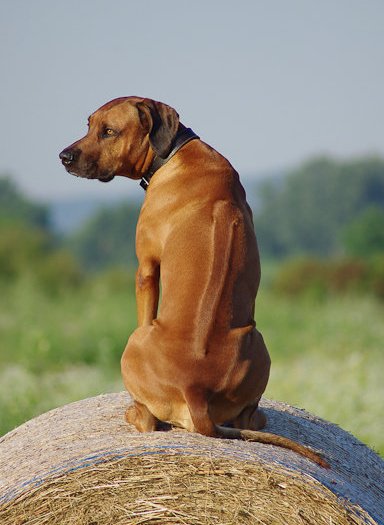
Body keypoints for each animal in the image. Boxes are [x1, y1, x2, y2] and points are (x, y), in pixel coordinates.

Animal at [60, 98, 330, 466]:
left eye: (109, 131)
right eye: (88, 125)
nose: (64, 156)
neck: (176, 152)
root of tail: (194, 390)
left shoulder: (147, 268)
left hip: (134, 344)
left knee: (148, 420)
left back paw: (132, 411)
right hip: (258, 342)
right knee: (247, 417)